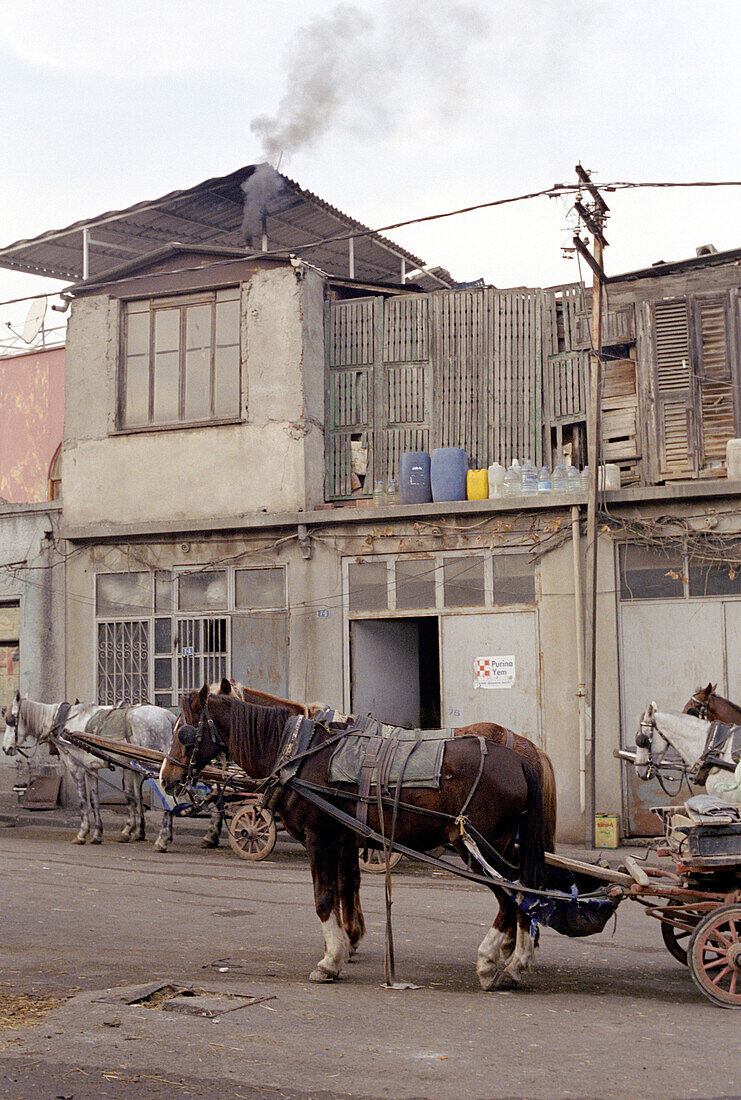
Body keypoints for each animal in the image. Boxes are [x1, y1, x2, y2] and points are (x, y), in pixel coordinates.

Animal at [2, 686, 222, 849]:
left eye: (11, 720)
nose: (5, 748)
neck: (63, 724)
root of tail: (169, 716)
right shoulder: (91, 769)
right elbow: (98, 801)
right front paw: (99, 833)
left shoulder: (76, 767)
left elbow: (84, 802)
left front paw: (82, 833)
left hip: (159, 767)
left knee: (168, 797)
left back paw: (163, 838)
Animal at [161, 686, 547, 990]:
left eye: (182, 732)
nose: (166, 777)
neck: (298, 754)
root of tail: (519, 759)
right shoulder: (343, 838)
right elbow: (344, 888)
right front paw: (345, 944)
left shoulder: (319, 838)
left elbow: (324, 897)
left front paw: (330, 961)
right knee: (528, 891)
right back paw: (517, 961)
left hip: (480, 848)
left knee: (512, 895)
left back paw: (491, 962)